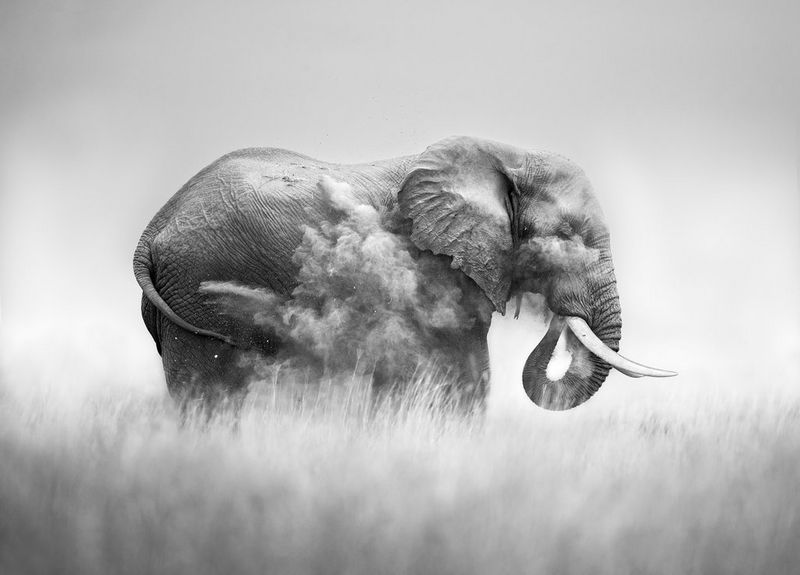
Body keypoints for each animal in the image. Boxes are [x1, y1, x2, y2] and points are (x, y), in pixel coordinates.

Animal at [134, 136, 674, 411]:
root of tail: (155, 225)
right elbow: (464, 370)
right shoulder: (433, 266)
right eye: (564, 237)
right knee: (205, 393)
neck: (505, 156)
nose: (560, 315)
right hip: (195, 284)